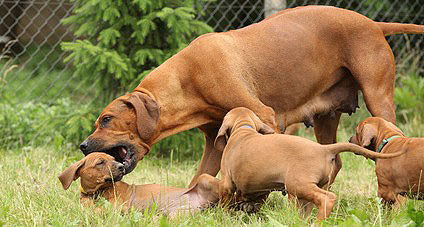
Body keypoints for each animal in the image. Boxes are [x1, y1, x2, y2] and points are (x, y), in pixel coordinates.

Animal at [57, 152, 219, 215]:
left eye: (113, 159)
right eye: (100, 162)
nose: (121, 166)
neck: (98, 192)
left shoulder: (119, 205)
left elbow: (102, 209)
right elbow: (86, 206)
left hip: (206, 178)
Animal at [78, 5, 424, 186]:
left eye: (106, 119)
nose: (82, 145)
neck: (188, 78)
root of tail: (373, 23)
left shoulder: (265, 116)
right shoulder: (213, 142)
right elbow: (199, 178)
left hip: (378, 96)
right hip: (326, 116)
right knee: (334, 158)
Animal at [215, 107, 408, 221]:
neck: (243, 128)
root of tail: (324, 149)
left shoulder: (226, 183)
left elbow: (225, 202)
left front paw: (222, 217)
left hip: (298, 184)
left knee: (327, 198)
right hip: (307, 190)